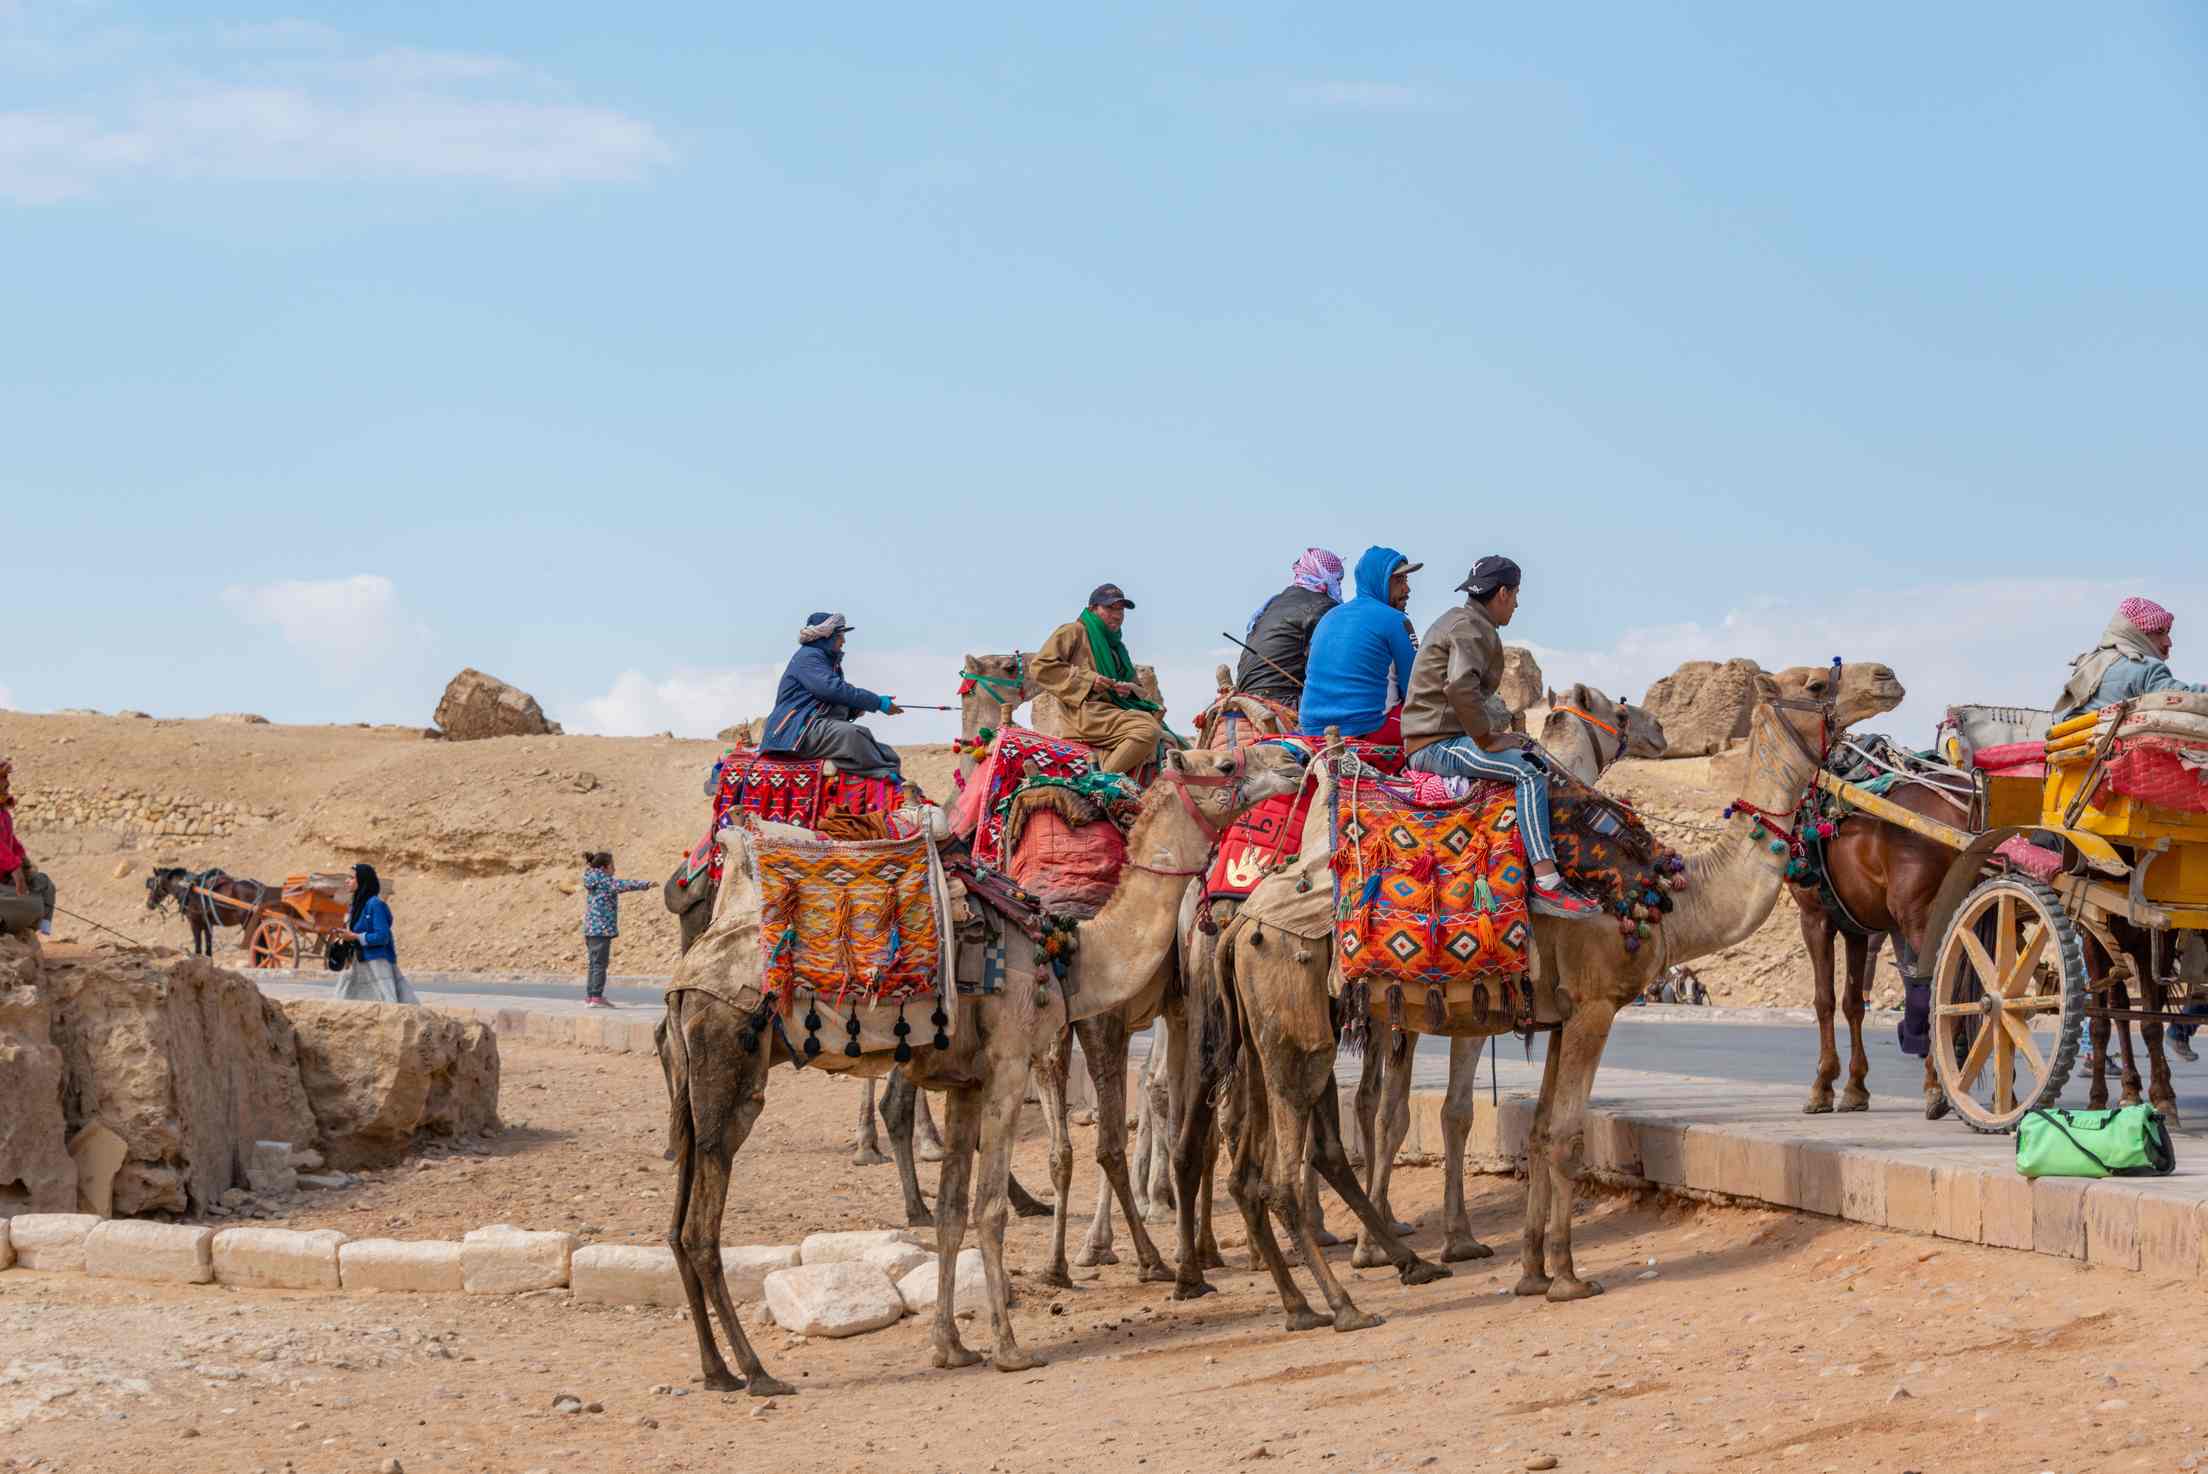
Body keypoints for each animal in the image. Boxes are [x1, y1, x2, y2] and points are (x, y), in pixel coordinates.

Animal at [662, 741, 1298, 1385]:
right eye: (1226, 764)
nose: (1293, 762)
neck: (1073, 953)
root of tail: (688, 976)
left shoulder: (965, 1083)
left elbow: (952, 1213)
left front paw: (950, 1347)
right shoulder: (1008, 1067)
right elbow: (989, 1209)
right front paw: (1010, 1348)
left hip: (691, 1082)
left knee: (678, 1225)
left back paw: (716, 1369)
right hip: (727, 1059)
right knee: (701, 1228)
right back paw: (754, 1370)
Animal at [1201, 666, 1907, 1323]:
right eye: (1813, 683)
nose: (1886, 678)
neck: (1666, 899)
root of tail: (1240, 922)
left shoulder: (1561, 1016)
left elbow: (1541, 1132)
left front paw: (1532, 1273)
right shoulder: (1594, 1006)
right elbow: (1566, 1134)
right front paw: (1568, 1277)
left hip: (1265, 1036)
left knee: (1254, 1163)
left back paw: (1304, 1300)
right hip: (1299, 1030)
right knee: (1285, 1167)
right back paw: (1345, 1303)